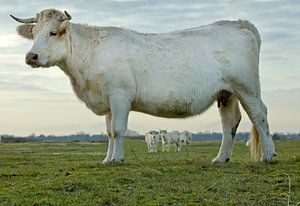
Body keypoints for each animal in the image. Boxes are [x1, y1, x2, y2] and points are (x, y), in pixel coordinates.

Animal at [11, 8, 276, 163]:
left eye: (54, 32)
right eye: (34, 33)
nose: (31, 56)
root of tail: (239, 22)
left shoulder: (120, 96)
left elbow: (119, 130)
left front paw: (117, 160)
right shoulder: (107, 101)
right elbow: (109, 132)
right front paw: (107, 159)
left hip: (247, 87)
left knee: (260, 115)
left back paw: (269, 155)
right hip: (226, 93)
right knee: (229, 124)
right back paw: (221, 159)